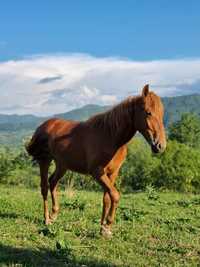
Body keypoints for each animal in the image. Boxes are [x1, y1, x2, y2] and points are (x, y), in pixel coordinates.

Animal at [26, 85, 166, 238]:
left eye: (162, 113)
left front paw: (103, 228)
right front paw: (108, 224)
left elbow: (107, 198)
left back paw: (54, 215)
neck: (110, 136)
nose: (160, 146)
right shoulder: (97, 172)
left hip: (62, 165)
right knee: (44, 187)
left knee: (52, 182)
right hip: (44, 161)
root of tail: (44, 126)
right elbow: (115, 195)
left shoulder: (112, 173)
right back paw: (46, 219)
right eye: (148, 112)